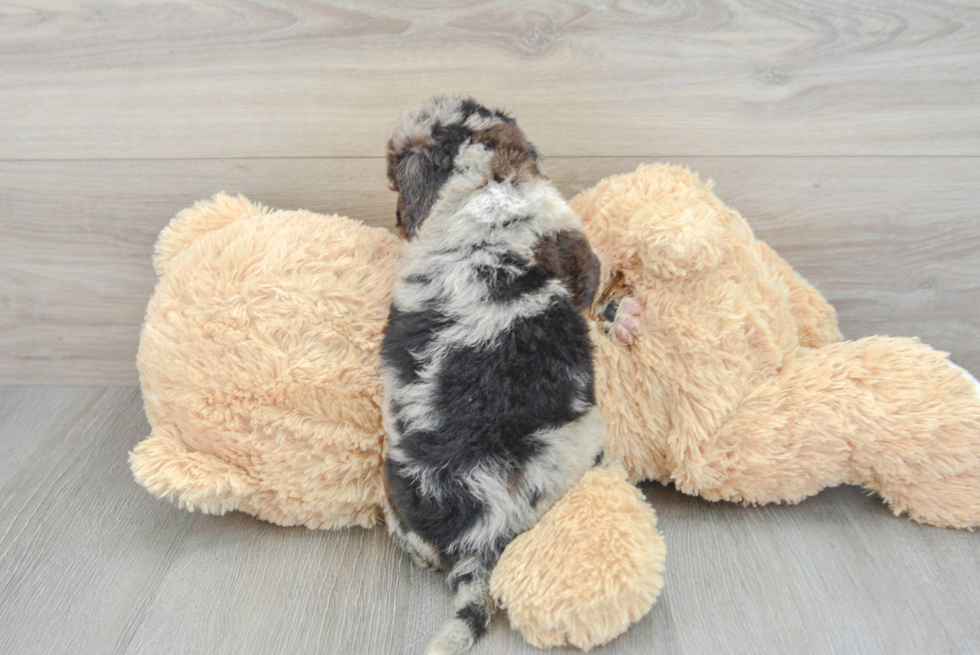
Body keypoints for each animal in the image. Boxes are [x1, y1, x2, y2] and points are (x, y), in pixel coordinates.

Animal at [378, 97, 640, 655]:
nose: (396, 219)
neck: (481, 180)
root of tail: (476, 539)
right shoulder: (573, 247)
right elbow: (597, 280)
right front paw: (620, 310)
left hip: (395, 492)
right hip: (584, 441)